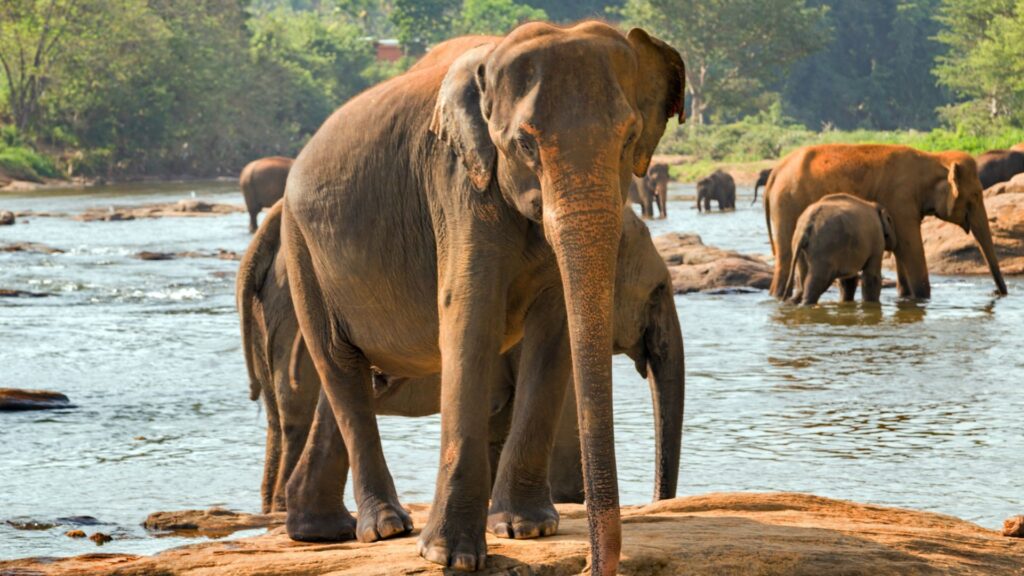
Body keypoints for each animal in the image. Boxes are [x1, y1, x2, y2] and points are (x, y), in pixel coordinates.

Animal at [765, 142, 1003, 301]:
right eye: (976, 195)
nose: (997, 292)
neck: (933, 158)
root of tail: (776, 172)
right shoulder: (900, 200)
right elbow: (910, 248)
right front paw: (922, 298)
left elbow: (901, 252)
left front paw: (906, 297)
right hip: (788, 205)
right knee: (785, 259)